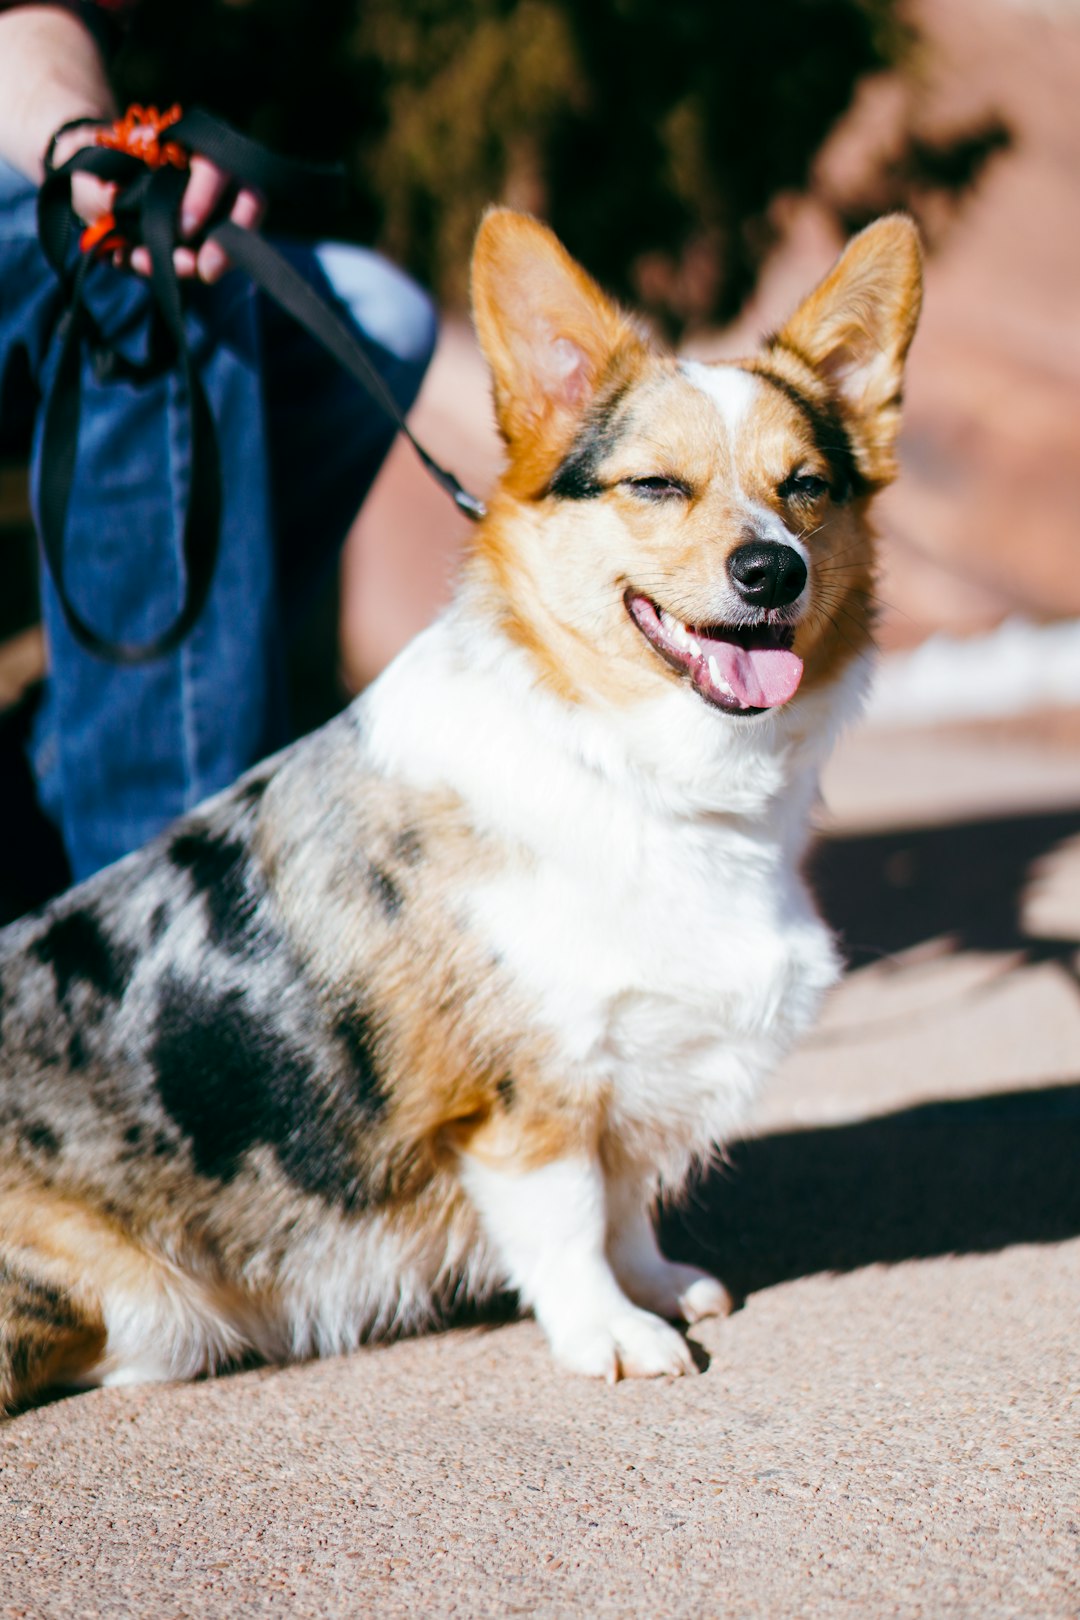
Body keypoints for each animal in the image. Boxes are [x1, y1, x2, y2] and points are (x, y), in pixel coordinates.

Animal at [0, 205, 919, 1406]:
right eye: (654, 486)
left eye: (806, 484)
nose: (773, 571)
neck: (641, 771)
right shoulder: (528, 1096)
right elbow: (572, 1222)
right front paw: (614, 1333)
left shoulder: (625, 1071)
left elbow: (626, 1205)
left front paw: (659, 1283)